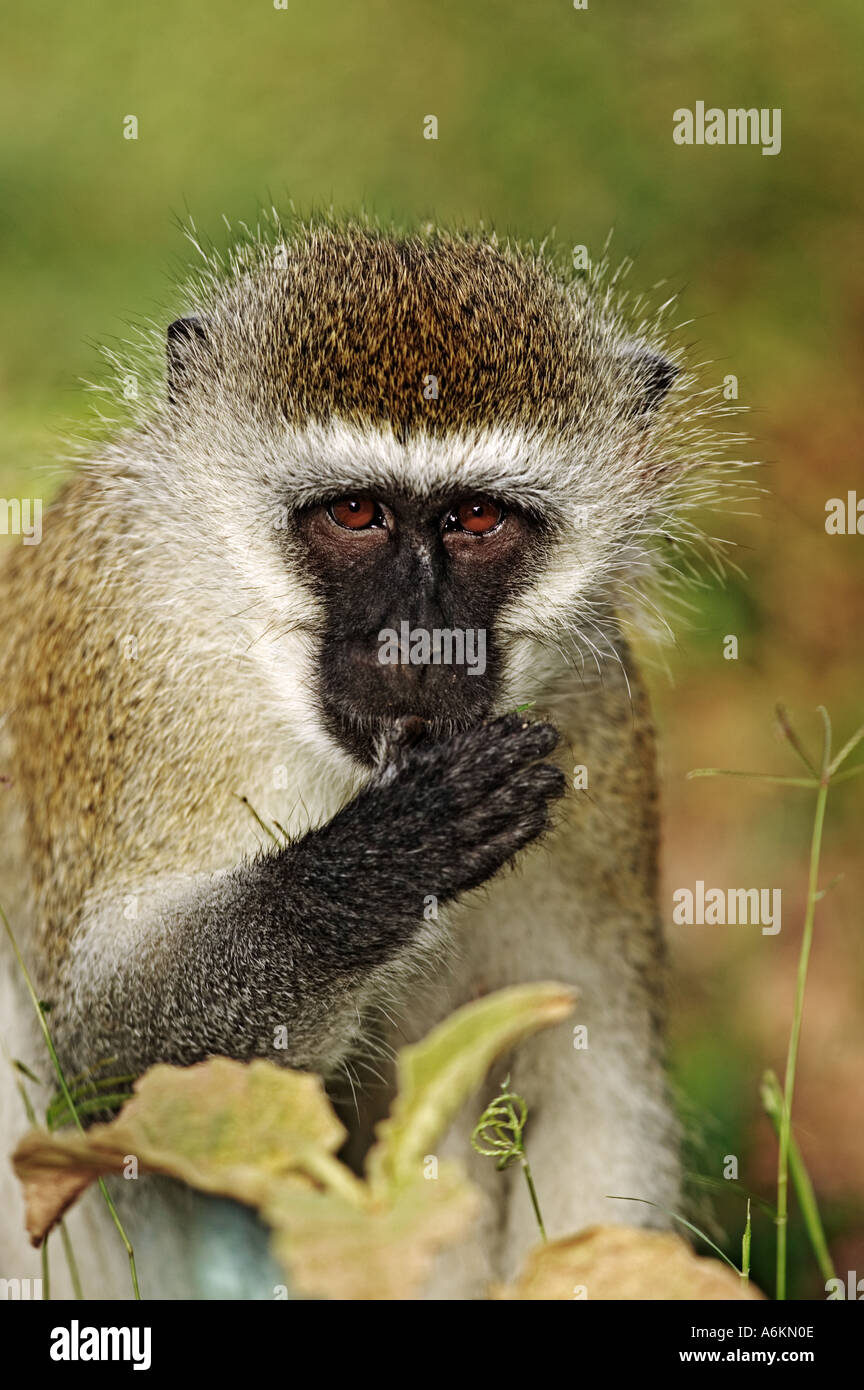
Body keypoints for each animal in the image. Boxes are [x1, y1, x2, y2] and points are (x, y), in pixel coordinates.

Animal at [0, 217, 741, 1299]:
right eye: (356, 514)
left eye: (476, 518)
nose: (418, 636)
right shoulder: (134, 660)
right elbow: (101, 1060)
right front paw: (375, 868)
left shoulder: (595, 709)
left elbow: (590, 1079)